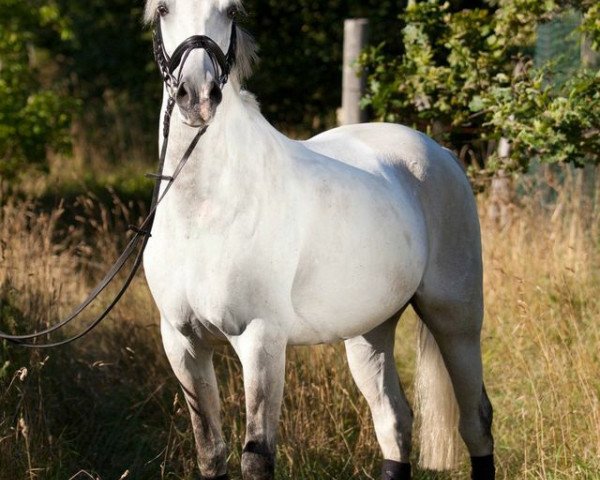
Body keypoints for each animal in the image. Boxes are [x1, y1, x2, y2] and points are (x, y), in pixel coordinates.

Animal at [143, 1, 494, 478]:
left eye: (230, 11)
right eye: (163, 9)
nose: (197, 96)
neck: (202, 213)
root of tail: (440, 153)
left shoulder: (262, 340)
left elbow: (257, 457)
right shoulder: (182, 343)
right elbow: (210, 452)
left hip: (456, 320)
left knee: (476, 419)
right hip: (369, 332)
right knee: (395, 421)